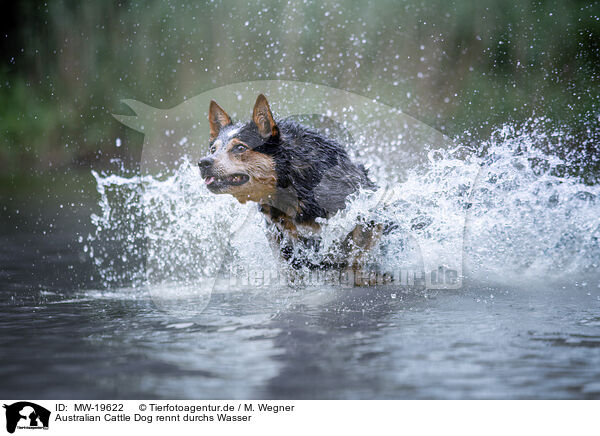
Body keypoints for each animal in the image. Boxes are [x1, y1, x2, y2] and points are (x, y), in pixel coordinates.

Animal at [198, 93, 384, 282]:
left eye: (240, 147)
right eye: (213, 149)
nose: (204, 162)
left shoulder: (365, 212)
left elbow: (355, 251)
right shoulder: (279, 238)